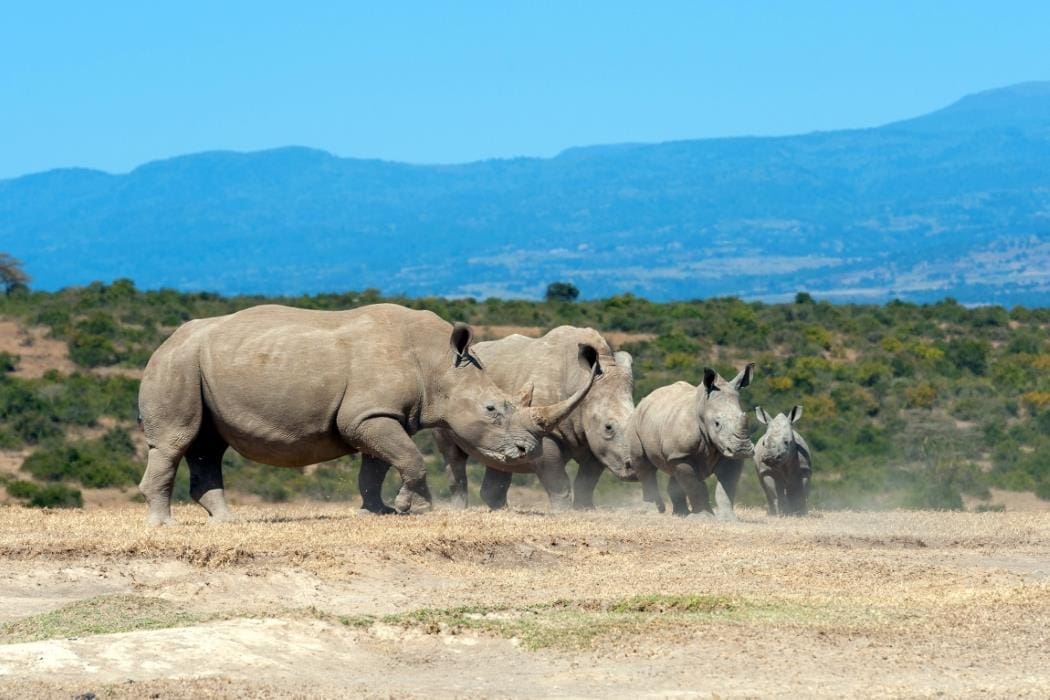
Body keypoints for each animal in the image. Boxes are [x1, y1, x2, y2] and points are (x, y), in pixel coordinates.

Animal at [135, 304, 596, 522]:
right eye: (492, 409)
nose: (524, 451)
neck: (438, 364)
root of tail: (166, 341)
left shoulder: (377, 416)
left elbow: (375, 467)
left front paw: (380, 511)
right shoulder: (369, 415)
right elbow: (409, 457)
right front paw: (417, 508)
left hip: (199, 364)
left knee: (208, 446)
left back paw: (226, 521)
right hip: (177, 363)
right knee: (176, 442)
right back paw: (163, 524)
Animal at [428, 325, 634, 512]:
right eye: (608, 427)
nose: (633, 468)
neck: (580, 379)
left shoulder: (595, 442)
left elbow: (587, 480)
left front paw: (586, 510)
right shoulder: (545, 432)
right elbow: (557, 479)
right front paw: (562, 512)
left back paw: (503, 511)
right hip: (445, 397)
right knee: (453, 454)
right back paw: (459, 510)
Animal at [625, 365, 760, 518]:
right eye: (717, 423)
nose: (742, 449)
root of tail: (645, 400)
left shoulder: (727, 452)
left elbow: (726, 486)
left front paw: (728, 518)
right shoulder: (682, 453)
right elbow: (695, 485)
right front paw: (704, 517)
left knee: (674, 471)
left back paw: (680, 514)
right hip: (636, 422)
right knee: (644, 465)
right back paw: (654, 511)